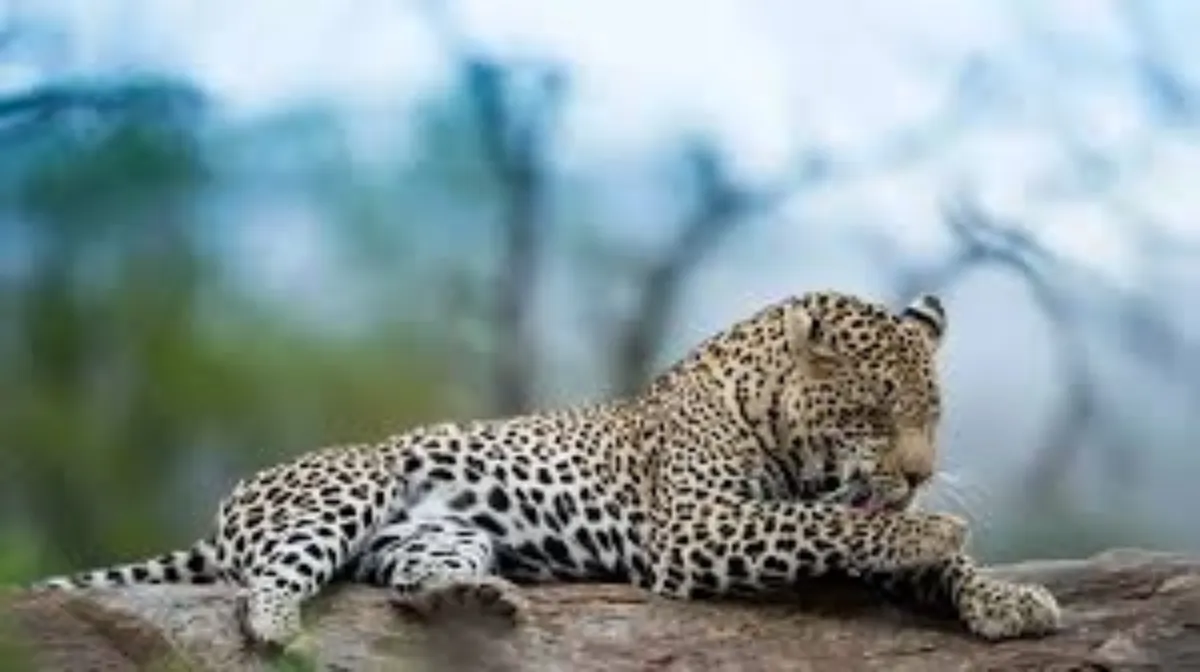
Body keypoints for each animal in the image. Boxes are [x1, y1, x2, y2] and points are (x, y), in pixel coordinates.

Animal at [30, 289, 1061, 650]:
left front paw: (1008, 597)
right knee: (268, 581)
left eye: (935, 416)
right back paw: (278, 629)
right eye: (875, 413)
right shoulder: (696, 530)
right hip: (348, 488)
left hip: (429, 539)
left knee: (413, 581)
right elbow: (829, 524)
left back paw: (480, 606)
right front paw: (933, 527)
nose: (921, 477)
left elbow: (896, 545)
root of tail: (235, 501)